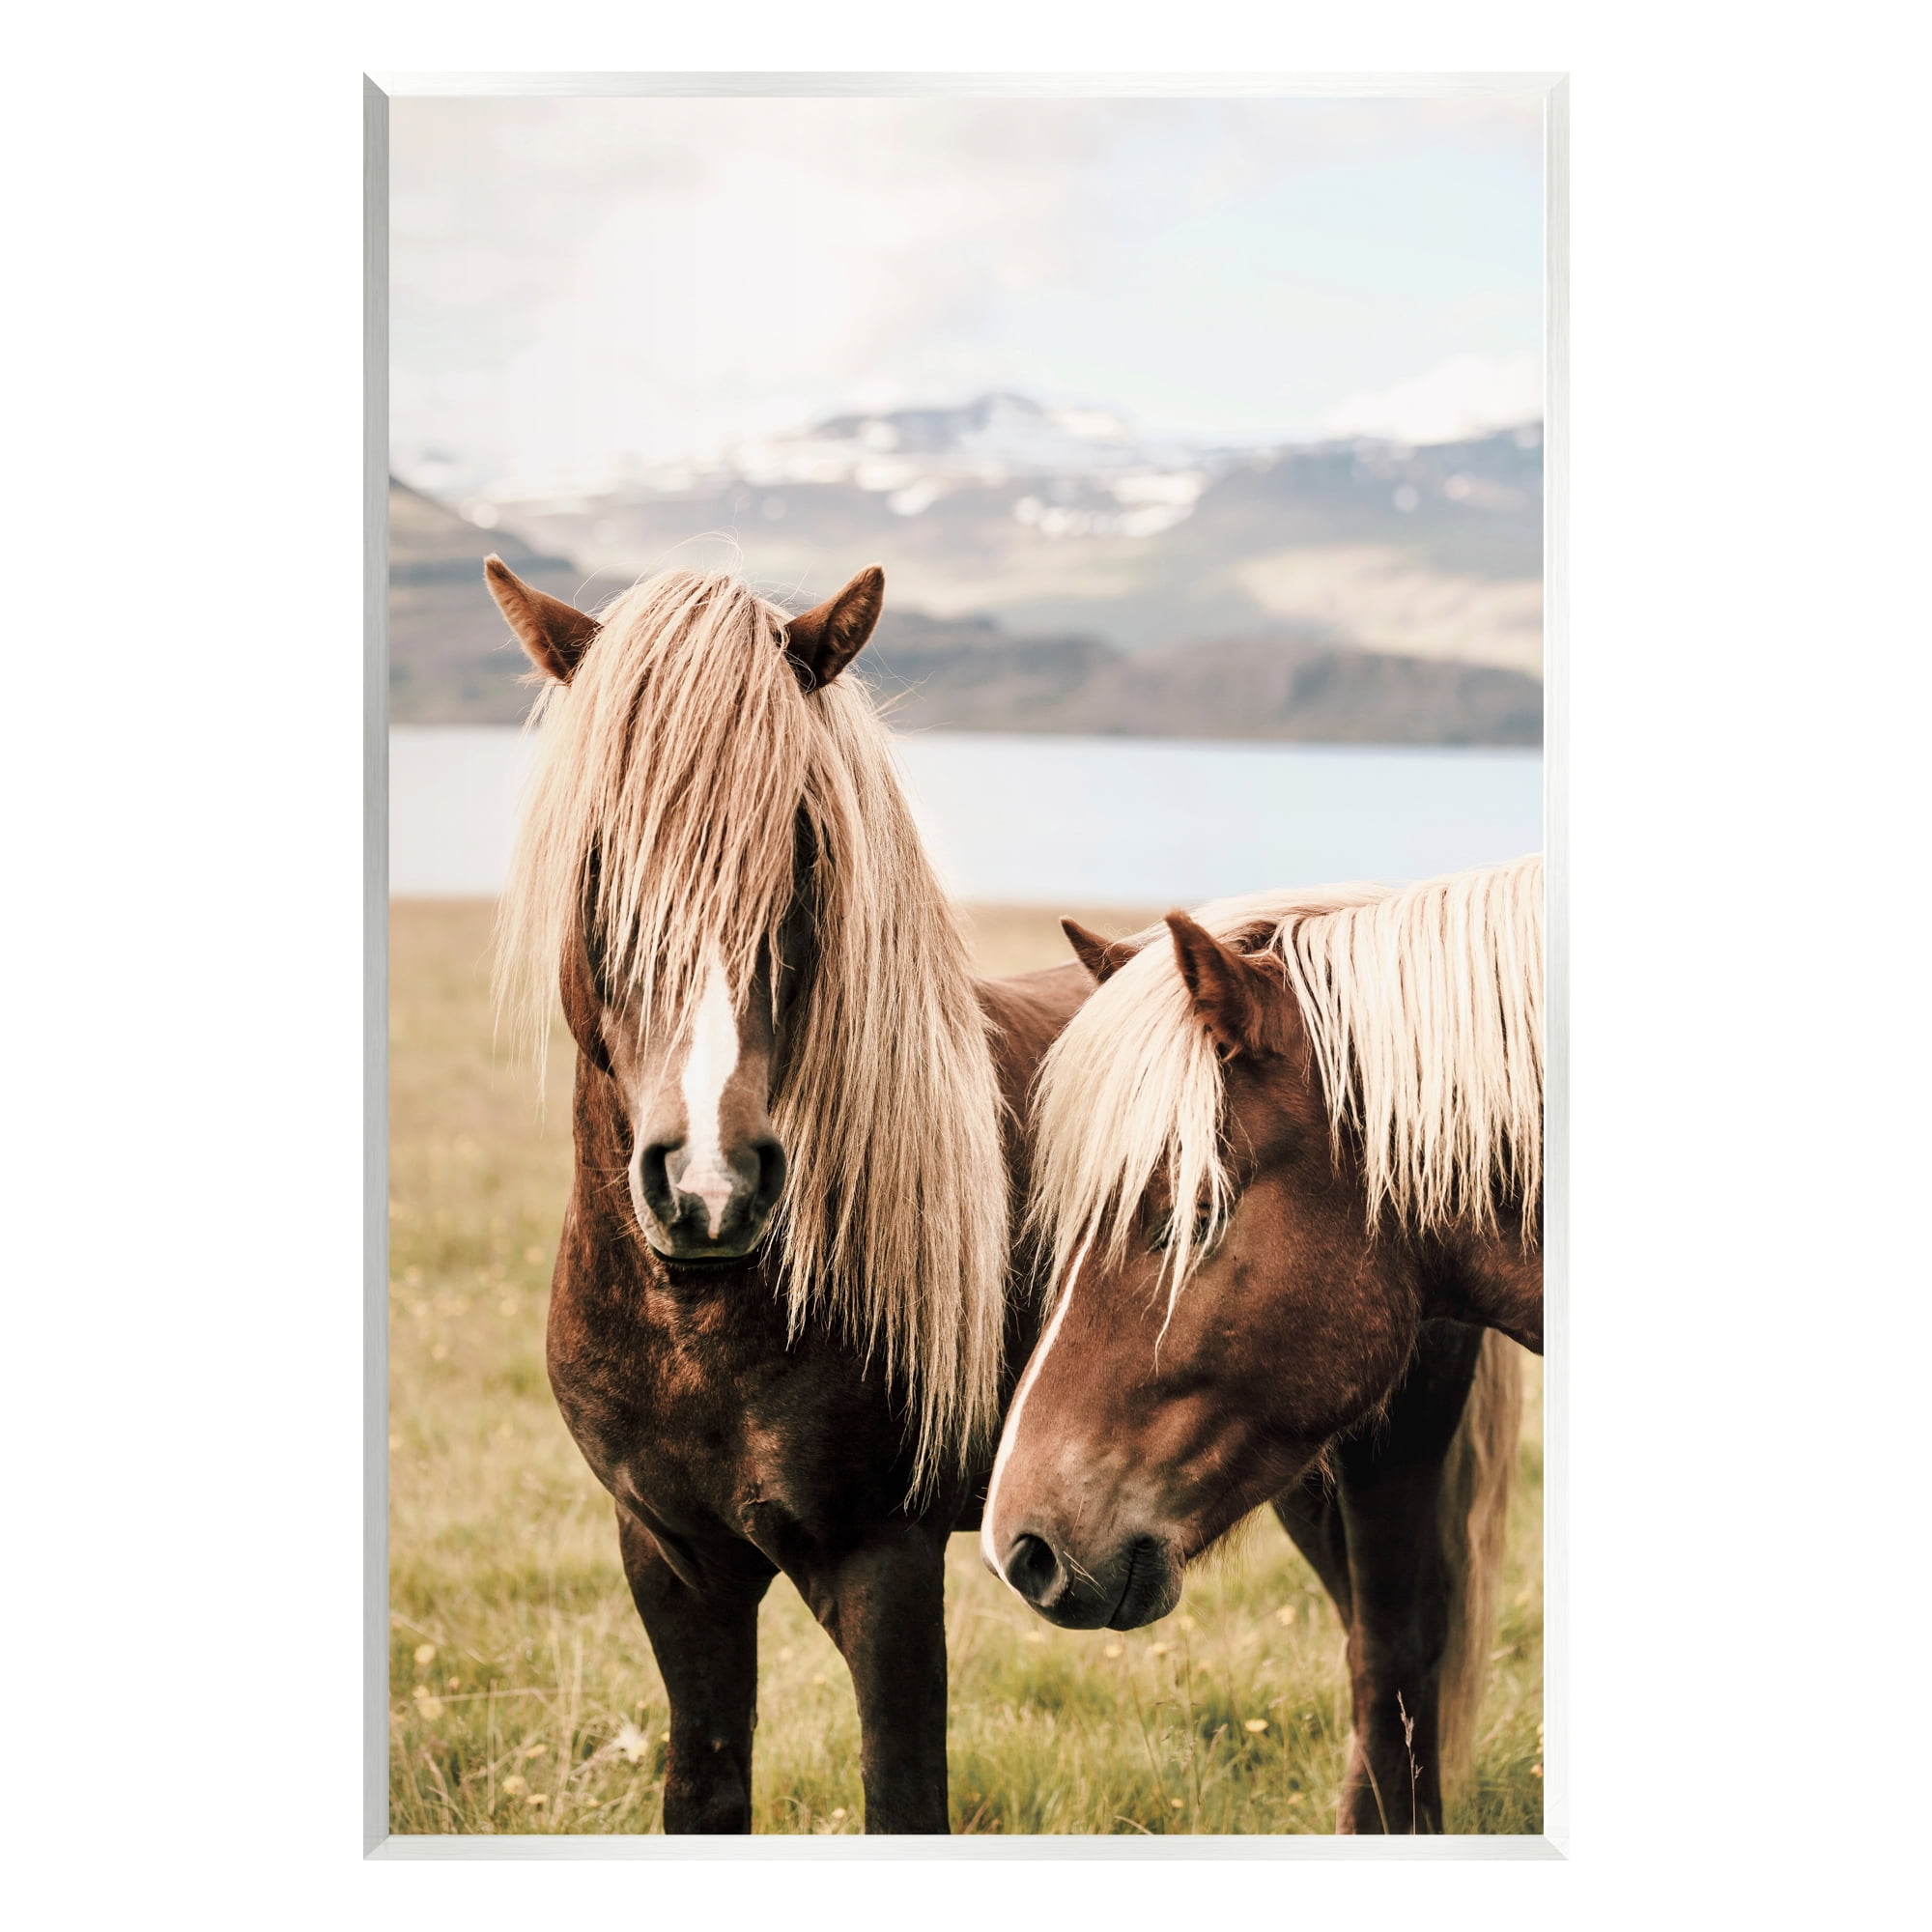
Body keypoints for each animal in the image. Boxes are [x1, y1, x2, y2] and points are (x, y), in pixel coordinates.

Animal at [483, 555, 1091, 1833]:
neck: (704, 1324)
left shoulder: (883, 1561)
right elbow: (705, 1788)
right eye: (598, 852)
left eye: (803, 847)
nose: (709, 1184)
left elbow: (903, 1797)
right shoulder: (671, 1557)